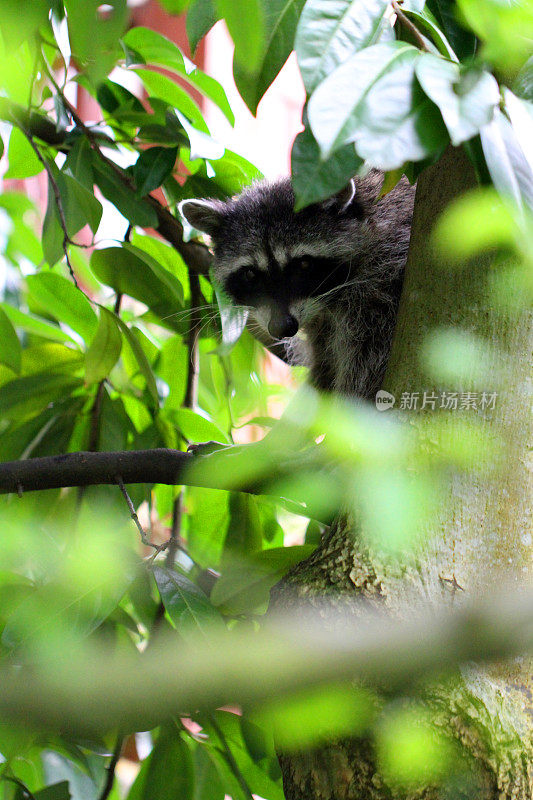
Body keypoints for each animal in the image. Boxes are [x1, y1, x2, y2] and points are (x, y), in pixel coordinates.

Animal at [181, 175, 414, 400]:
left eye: (303, 264)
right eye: (250, 274)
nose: (282, 327)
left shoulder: (382, 280)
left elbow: (367, 366)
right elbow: (325, 363)